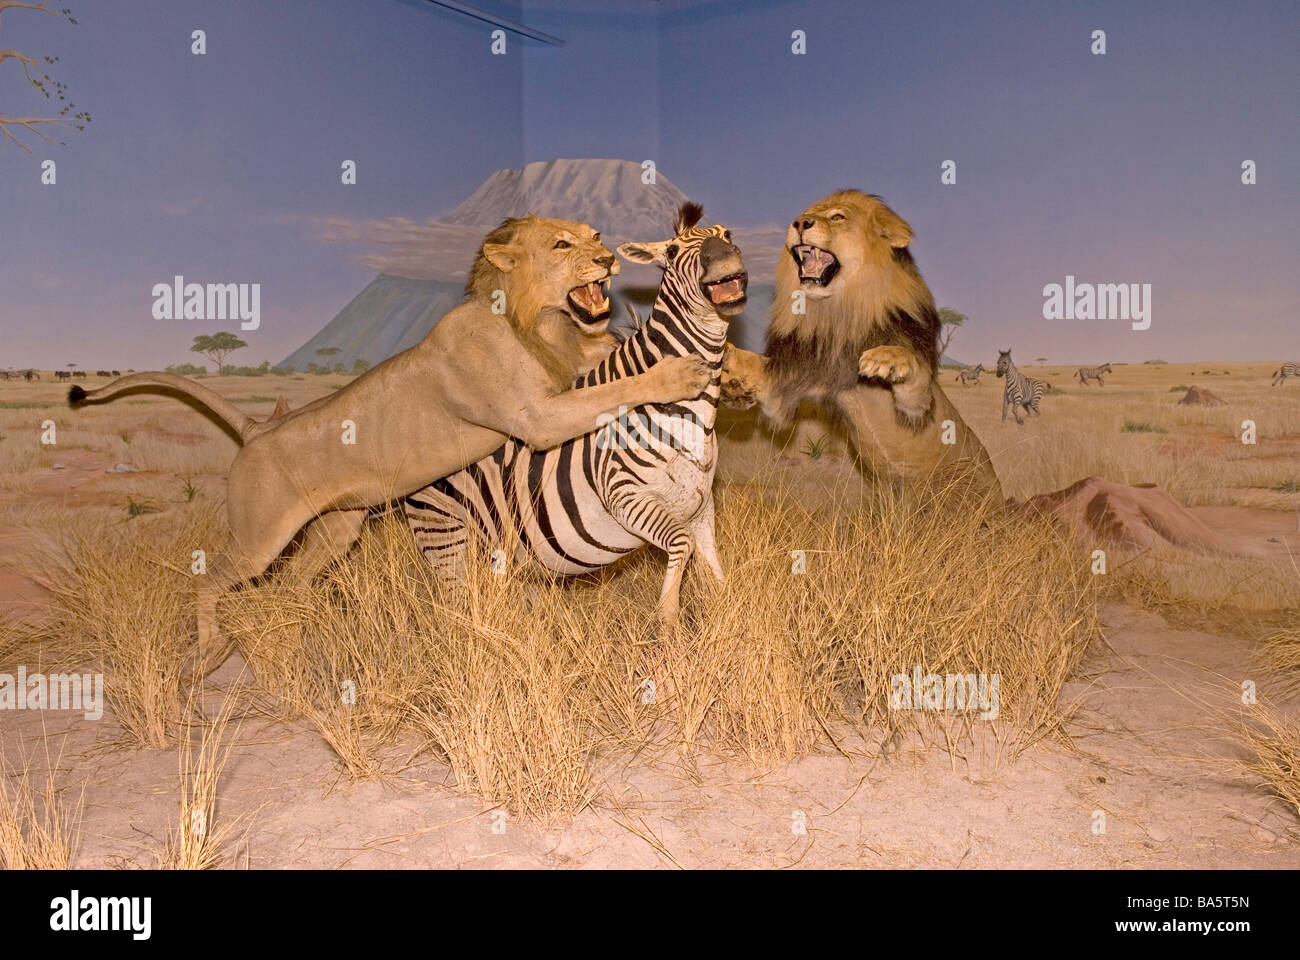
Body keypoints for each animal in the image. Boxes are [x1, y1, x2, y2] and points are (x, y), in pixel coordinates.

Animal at [69, 215, 712, 671]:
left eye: (595, 236)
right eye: (561, 245)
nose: (607, 259)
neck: (538, 320)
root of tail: (258, 430)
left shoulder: (566, 369)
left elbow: (608, 358)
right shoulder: (537, 416)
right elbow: (619, 385)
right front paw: (678, 372)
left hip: (338, 529)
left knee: (297, 580)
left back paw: (308, 626)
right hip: (259, 540)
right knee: (209, 579)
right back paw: (208, 654)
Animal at [403, 204, 748, 625]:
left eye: (727, 234)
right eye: (671, 251)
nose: (723, 256)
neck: (694, 415)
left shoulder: (700, 506)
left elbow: (716, 578)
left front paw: (725, 628)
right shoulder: (624, 493)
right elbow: (681, 550)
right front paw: (667, 623)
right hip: (445, 535)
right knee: (454, 603)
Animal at [721, 190, 1002, 500]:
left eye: (838, 217)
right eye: (804, 214)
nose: (799, 223)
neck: (838, 315)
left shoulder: (917, 409)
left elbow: (913, 368)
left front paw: (885, 358)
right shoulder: (788, 386)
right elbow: (753, 364)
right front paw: (722, 357)